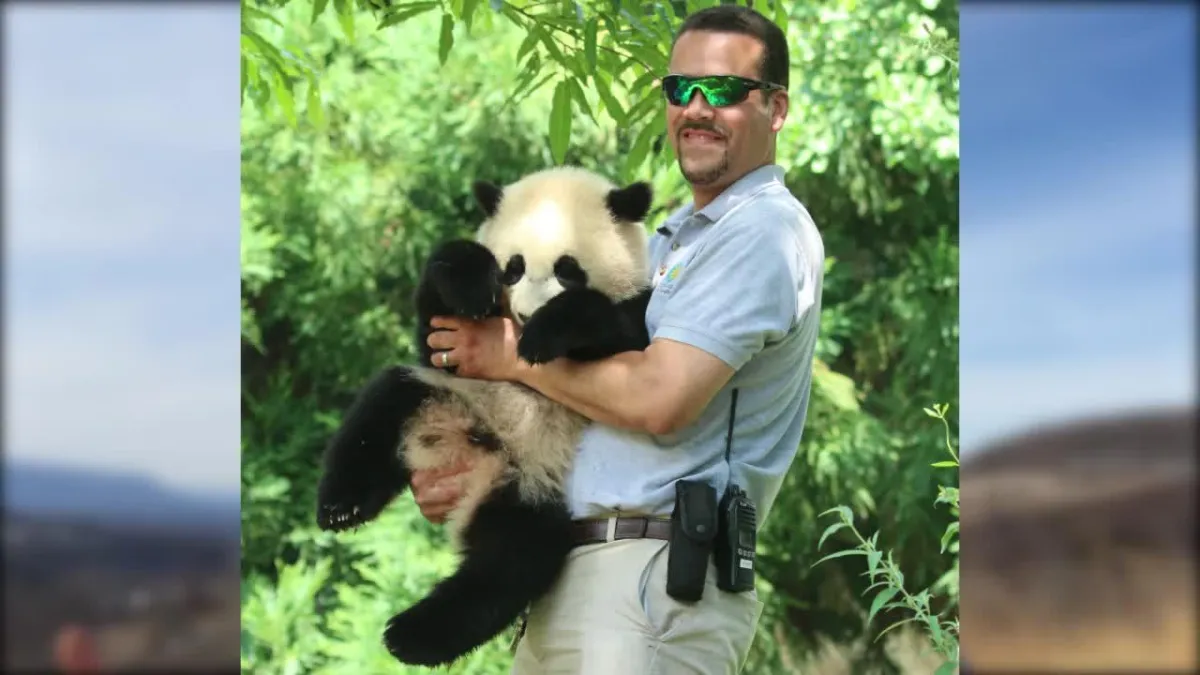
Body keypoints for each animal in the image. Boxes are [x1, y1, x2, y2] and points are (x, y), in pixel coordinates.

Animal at [314, 166, 655, 667]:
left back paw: (410, 635)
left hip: (529, 481)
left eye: (567, 269)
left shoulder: (635, 319)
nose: (528, 314)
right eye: (513, 266)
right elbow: (435, 325)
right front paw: (471, 283)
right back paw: (342, 508)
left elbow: (627, 336)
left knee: (511, 558)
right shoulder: (450, 353)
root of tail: (471, 449)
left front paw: (547, 332)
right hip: (437, 397)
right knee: (379, 410)